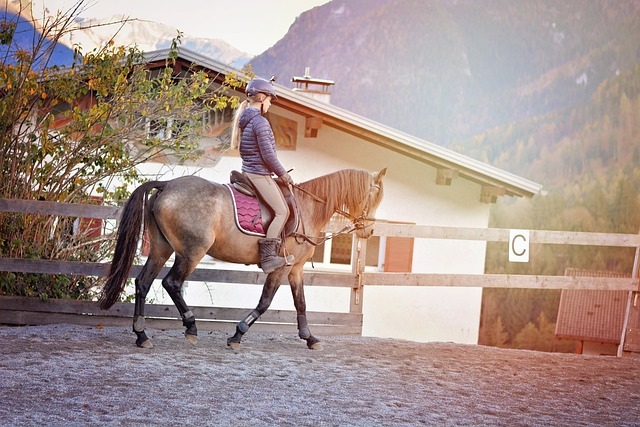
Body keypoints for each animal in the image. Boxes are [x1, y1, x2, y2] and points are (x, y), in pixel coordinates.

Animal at [95, 167, 384, 352]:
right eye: (374, 196)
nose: (369, 231)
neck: (308, 207)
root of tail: (167, 185)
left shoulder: (296, 269)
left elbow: (301, 303)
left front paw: (310, 338)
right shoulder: (281, 268)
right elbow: (265, 302)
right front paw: (237, 334)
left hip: (160, 249)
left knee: (143, 283)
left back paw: (142, 335)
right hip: (192, 251)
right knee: (172, 283)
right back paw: (191, 327)